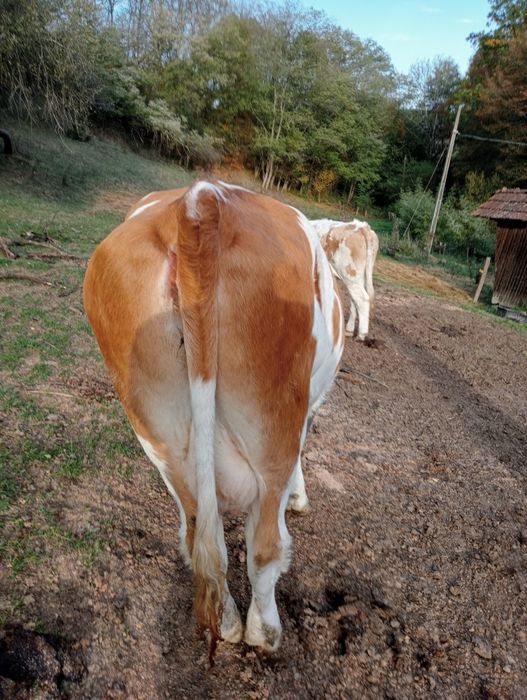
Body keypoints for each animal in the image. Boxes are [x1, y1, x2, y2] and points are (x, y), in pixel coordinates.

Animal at [83, 180, 344, 659]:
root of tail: (200, 199)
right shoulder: (308, 411)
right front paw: (300, 498)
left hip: (161, 434)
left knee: (200, 536)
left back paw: (226, 622)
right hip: (273, 427)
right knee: (264, 548)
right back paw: (265, 633)